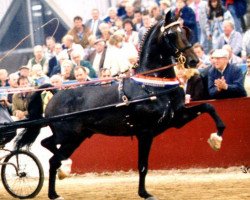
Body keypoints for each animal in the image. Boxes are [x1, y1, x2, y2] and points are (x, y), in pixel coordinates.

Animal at [16, 11, 226, 199]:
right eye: (171, 34)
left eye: (184, 32)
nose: (194, 60)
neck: (152, 85)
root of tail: (57, 93)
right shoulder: (145, 132)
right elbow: (143, 165)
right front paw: (144, 193)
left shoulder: (176, 119)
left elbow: (208, 107)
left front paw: (216, 138)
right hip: (69, 136)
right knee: (52, 157)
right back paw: (54, 191)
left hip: (77, 136)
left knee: (49, 147)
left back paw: (63, 171)